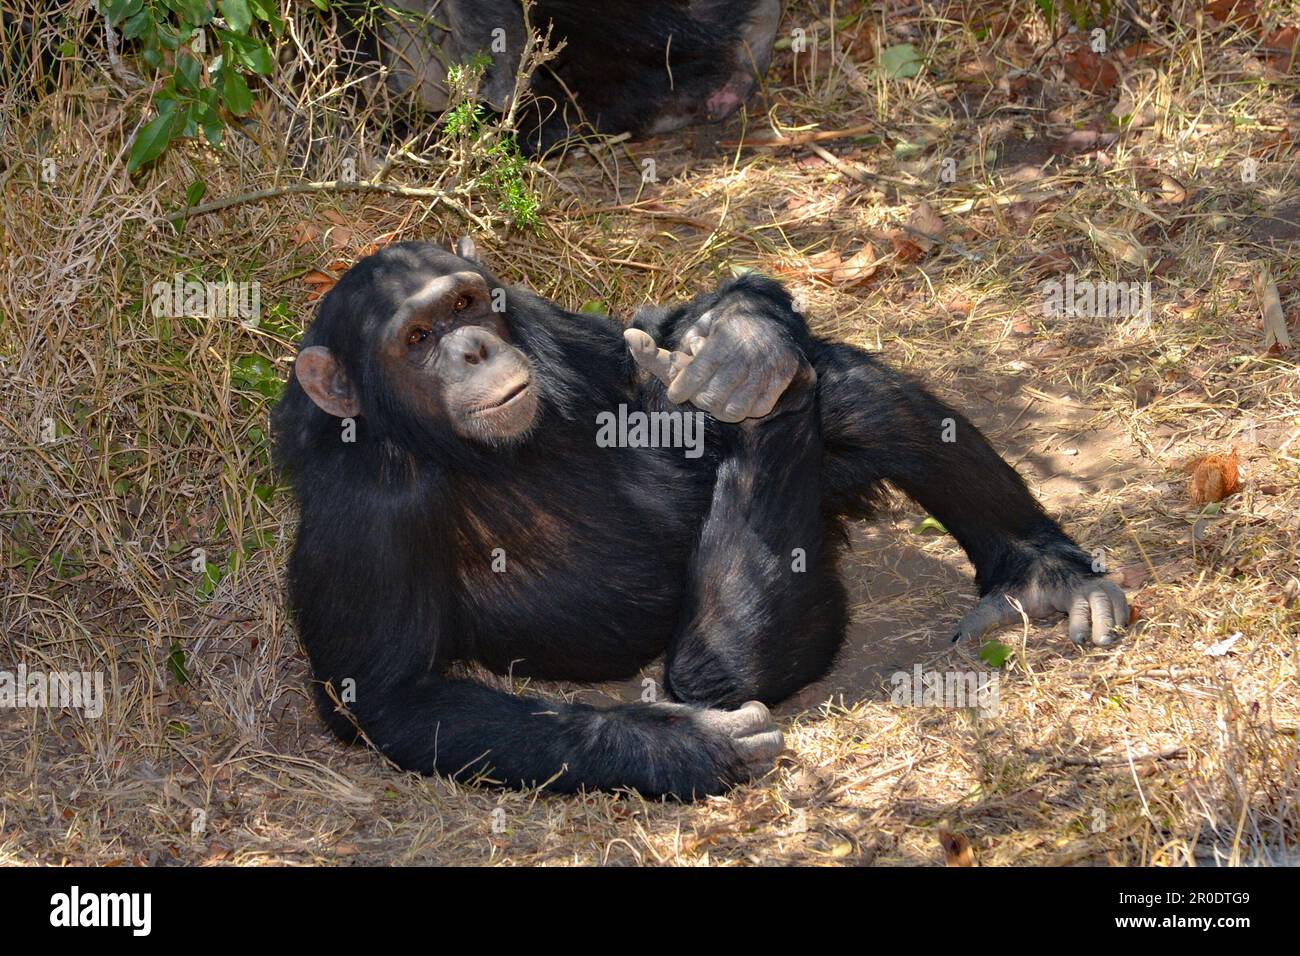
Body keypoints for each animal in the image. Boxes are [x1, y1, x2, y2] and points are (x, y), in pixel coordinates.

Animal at [274, 240, 1128, 801]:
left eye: (466, 303)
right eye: (417, 339)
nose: (475, 348)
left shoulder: (546, 323)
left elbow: (646, 330)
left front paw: (741, 335)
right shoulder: (363, 508)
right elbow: (394, 694)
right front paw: (680, 747)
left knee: (849, 389)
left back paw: (1040, 570)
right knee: (715, 668)